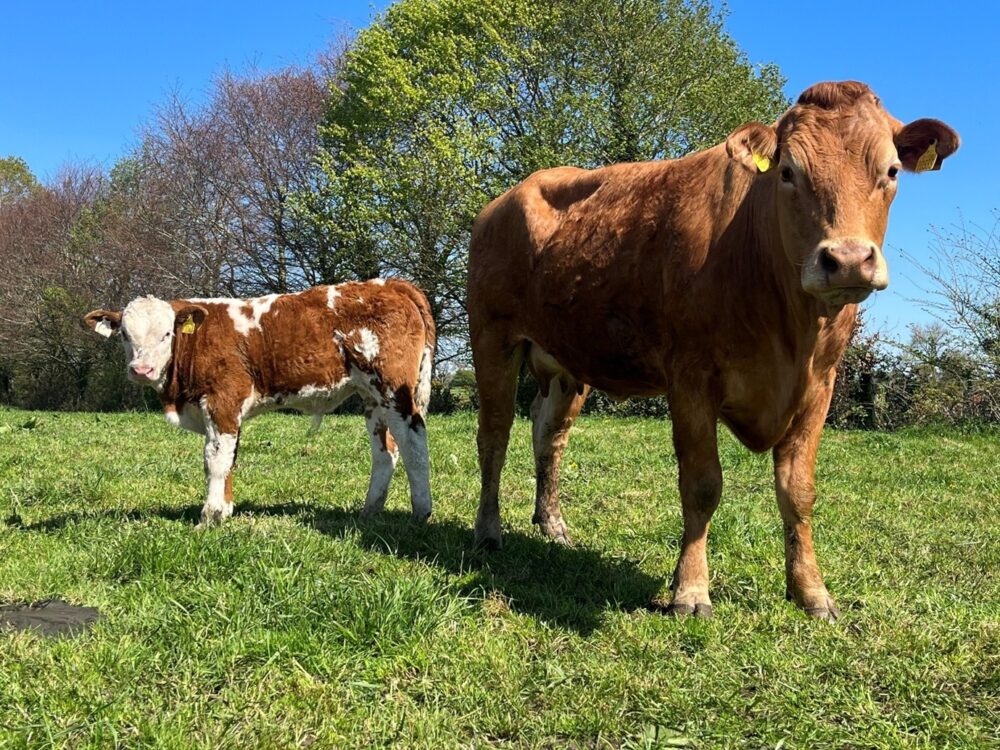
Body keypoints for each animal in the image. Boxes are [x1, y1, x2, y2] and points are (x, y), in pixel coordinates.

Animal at [84, 279, 436, 527]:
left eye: (167, 334)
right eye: (125, 335)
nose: (141, 369)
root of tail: (387, 283)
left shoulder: (223, 401)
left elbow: (215, 460)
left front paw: (209, 516)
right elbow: (228, 459)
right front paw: (224, 511)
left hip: (393, 388)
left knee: (414, 442)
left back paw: (420, 512)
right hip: (371, 397)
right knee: (385, 452)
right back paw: (370, 510)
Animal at [467, 81, 959, 621]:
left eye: (891, 171)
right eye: (788, 172)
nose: (848, 259)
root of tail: (505, 199)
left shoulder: (819, 384)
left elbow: (798, 491)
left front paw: (811, 591)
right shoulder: (691, 378)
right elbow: (702, 485)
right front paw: (690, 590)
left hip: (566, 360)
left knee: (548, 434)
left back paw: (552, 524)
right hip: (492, 337)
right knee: (494, 435)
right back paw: (488, 531)